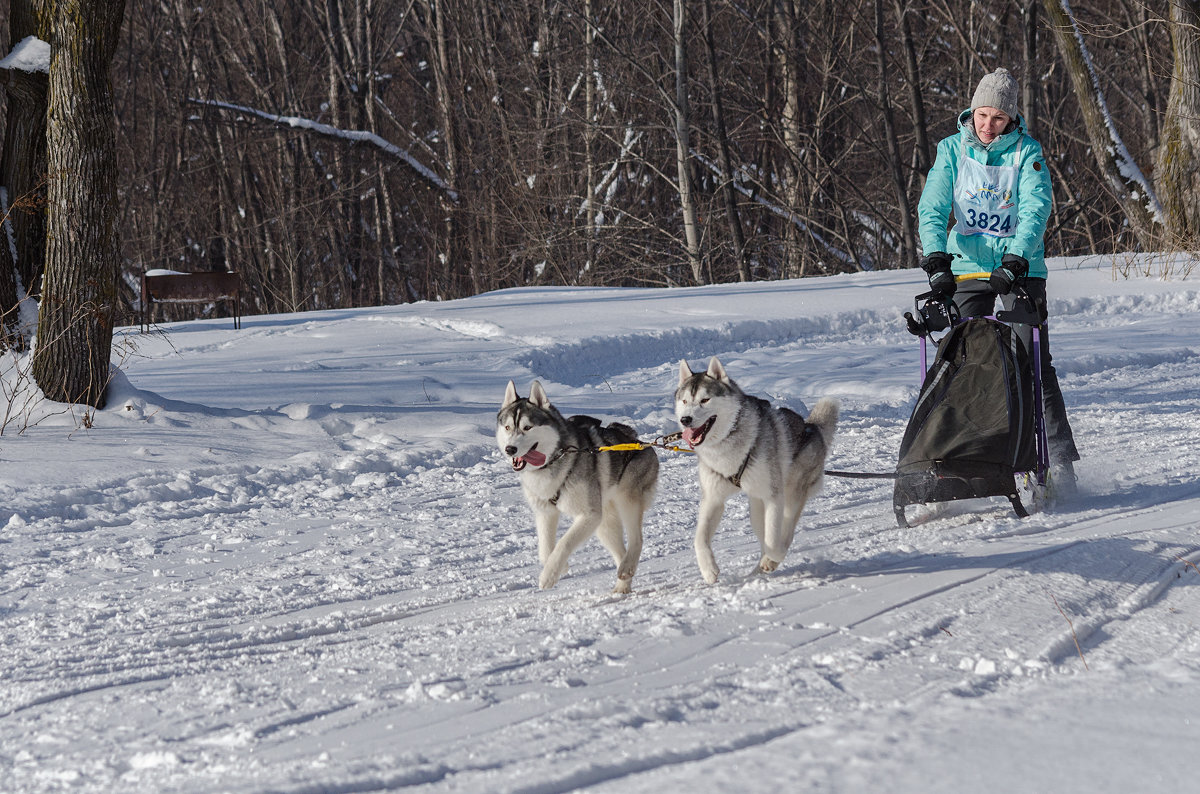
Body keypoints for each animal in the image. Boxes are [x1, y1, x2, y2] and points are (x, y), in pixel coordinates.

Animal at [501, 383, 662, 594]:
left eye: (527, 427)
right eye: (507, 427)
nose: (509, 449)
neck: (553, 461)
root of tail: (639, 441)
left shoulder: (589, 515)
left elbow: (563, 543)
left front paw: (549, 575)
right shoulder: (545, 512)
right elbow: (545, 550)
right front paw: (560, 566)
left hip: (627, 501)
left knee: (637, 539)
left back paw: (627, 567)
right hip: (604, 522)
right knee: (621, 551)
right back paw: (623, 583)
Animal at [676, 357, 835, 582]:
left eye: (705, 400)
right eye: (684, 402)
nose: (686, 419)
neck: (728, 442)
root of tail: (812, 428)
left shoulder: (774, 497)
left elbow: (775, 541)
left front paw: (775, 557)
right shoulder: (713, 499)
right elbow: (699, 538)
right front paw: (708, 570)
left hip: (791, 495)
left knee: (785, 533)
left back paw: (770, 561)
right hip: (756, 506)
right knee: (764, 535)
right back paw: (757, 570)